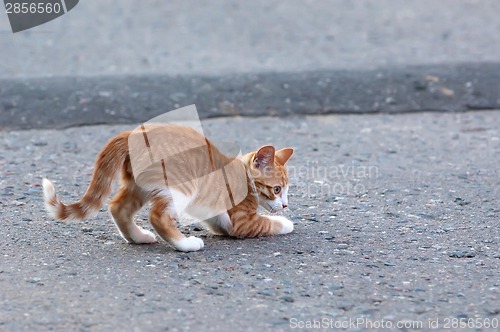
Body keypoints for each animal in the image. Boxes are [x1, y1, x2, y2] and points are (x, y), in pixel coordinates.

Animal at [43, 124, 294, 252]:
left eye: (285, 190)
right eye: (277, 189)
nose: (285, 205)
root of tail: (133, 132)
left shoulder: (220, 220)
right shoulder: (243, 221)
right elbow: (267, 223)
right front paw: (286, 222)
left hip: (140, 186)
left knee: (117, 207)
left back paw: (138, 237)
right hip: (181, 185)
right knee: (158, 216)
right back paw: (185, 244)